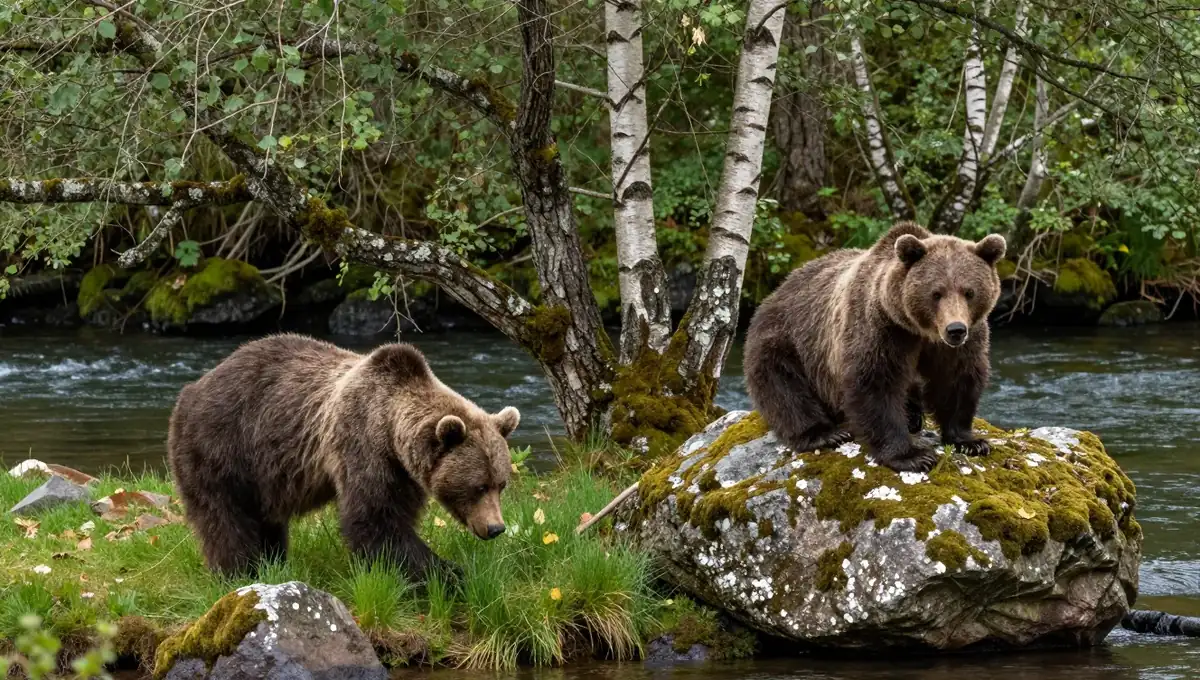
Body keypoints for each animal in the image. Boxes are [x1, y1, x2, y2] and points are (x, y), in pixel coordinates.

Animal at [167, 333, 520, 579]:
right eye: (478, 486)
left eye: (501, 484)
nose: (496, 528)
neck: (390, 425)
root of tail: (191, 388)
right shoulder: (362, 444)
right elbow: (375, 521)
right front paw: (449, 573)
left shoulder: (403, 472)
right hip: (221, 447)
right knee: (224, 517)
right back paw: (239, 571)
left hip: (262, 473)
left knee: (266, 519)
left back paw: (272, 561)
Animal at [743, 221, 1006, 472]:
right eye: (936, 293)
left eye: (969, 292)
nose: (955, 329)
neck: (920, 330)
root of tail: (778, 288)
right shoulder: (881, 328)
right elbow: (876, 384)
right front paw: (912, 456)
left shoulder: (960, 342)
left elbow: (957, 379)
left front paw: (970, 441)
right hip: (786, 338)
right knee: (783, 385)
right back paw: (824, 433)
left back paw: (913, 415)